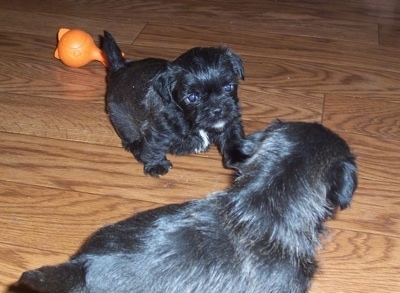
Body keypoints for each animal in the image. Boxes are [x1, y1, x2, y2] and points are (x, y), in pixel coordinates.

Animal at [102, 33, 247, 177]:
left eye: (228, 87)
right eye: (192, 97)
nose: (217, 110)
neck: (185, 116)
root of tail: (119, 68)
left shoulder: (230, 123)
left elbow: (233, 138)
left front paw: (242, 159)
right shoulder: (158, 131)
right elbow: (154, 147)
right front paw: (156, 165)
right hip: (121, 119)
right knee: (130, 137)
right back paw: (138, 148)